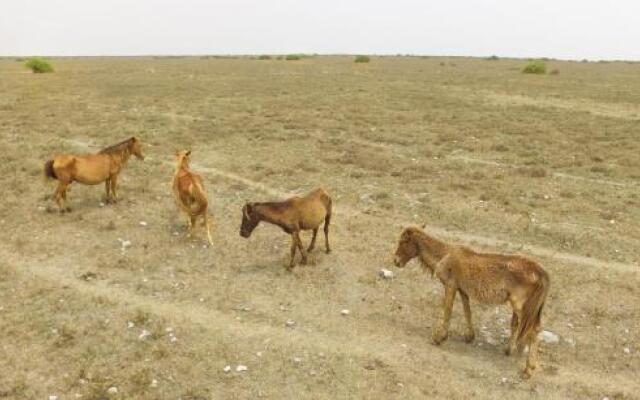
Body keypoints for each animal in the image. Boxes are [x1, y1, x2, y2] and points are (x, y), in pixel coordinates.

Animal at [392, 227, 548, 376]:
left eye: (403, 241)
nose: (395, 261)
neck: (444, 255)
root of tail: (541, 273)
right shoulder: (463, 290)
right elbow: (467, 312)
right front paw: (469, 336)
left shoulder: (450, 286)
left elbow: (447, 311)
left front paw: (438, 338)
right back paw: (509, 351)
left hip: (522, 307)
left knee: (534, 331)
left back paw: (528, 369)